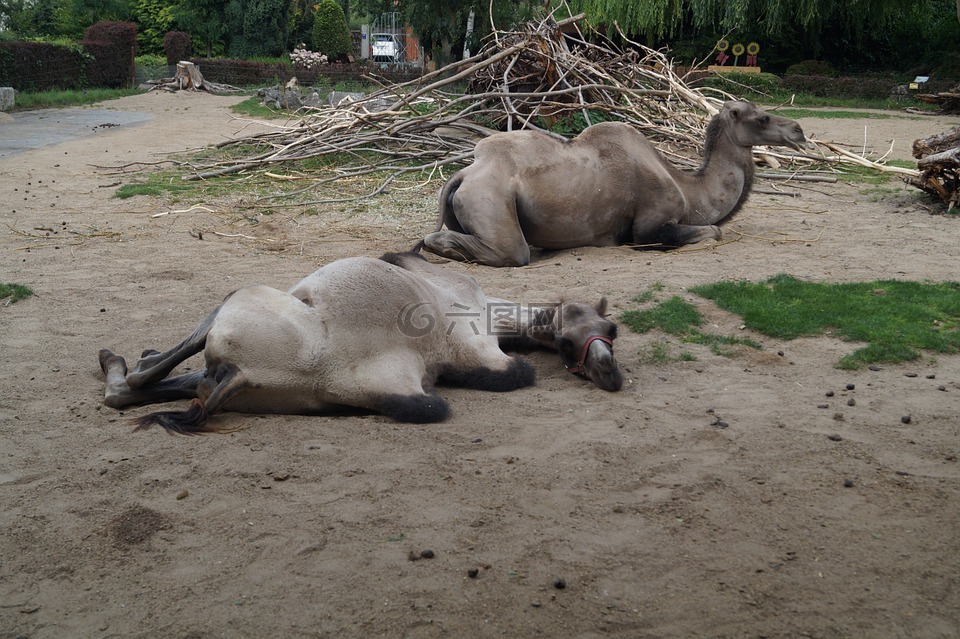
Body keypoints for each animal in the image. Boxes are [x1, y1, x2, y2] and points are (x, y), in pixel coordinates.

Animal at [97, 252, 624, 432]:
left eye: (612, 333)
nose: (609, 372)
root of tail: (242, 375)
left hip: (240, 309)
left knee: (145, 382)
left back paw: (118, 362)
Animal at [424, 101, 808, 266]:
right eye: (763, 117)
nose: (799, 130)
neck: (688, 189)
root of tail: (463, 174)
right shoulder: (651, 222)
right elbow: (712, 231)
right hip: (489, 198)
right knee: (511, 252)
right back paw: (443, 249)